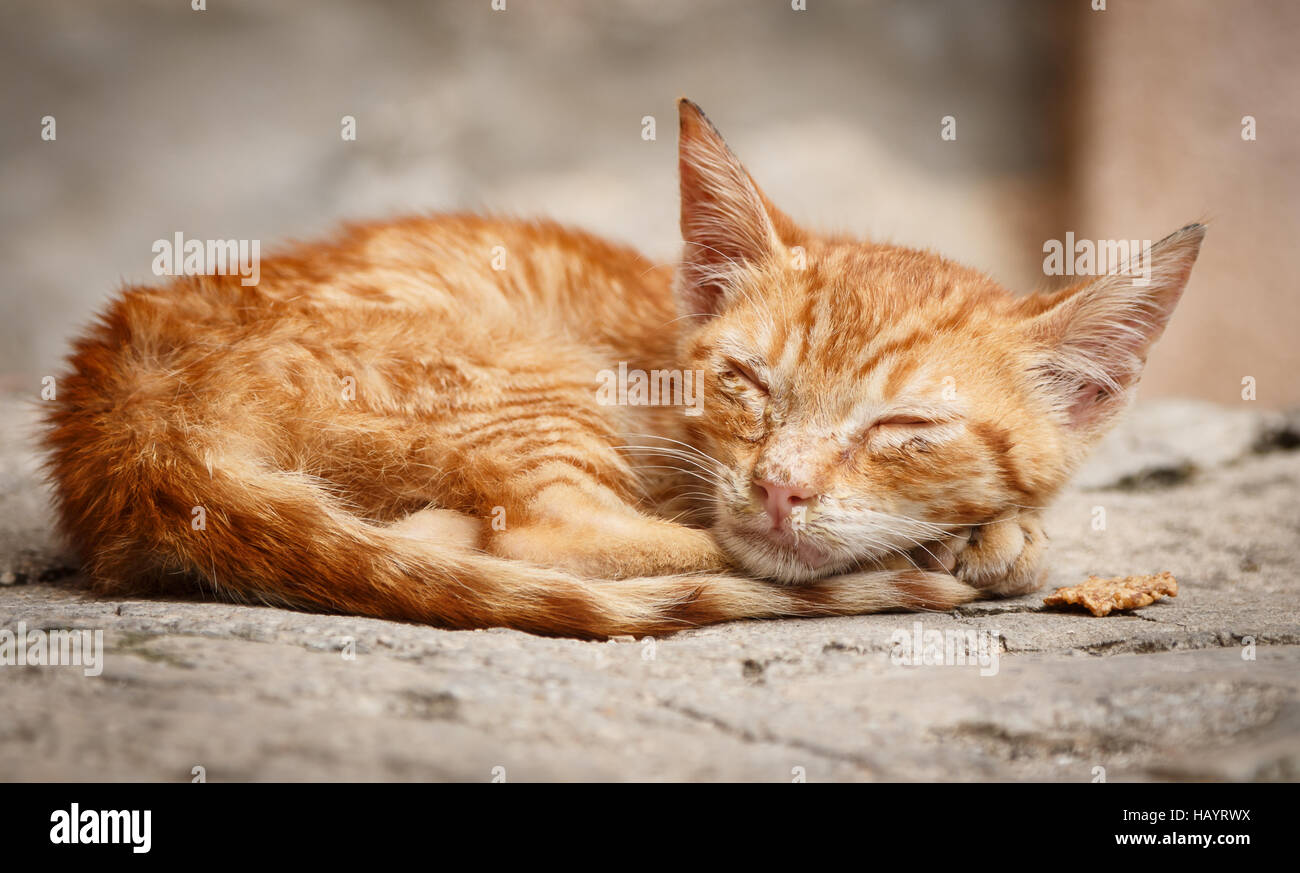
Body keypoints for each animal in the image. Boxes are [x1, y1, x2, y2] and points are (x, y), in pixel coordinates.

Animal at [43, 102, 1206, 636]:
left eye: (902, 429)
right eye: (747, 382)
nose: (779, 487)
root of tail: (122, 403)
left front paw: (1001, 525)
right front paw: (984, 538)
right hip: (530, 375)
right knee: (552, 537)